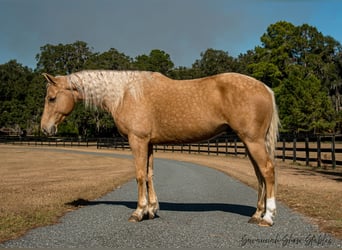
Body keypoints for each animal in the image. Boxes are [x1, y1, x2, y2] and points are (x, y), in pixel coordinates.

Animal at [41, 70, 280, 227]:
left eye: (52, 98)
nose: (45, 128)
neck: (125, 93)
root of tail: (265, 88)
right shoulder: (148, 143)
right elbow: (149, 174)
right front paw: (151, 209)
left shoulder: (137, 141)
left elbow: (139, 175)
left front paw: (138, 212)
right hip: (249, 142)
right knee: (259, 175)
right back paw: (256, 214)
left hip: (253, 141)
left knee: (267, 171)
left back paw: (268, 217)